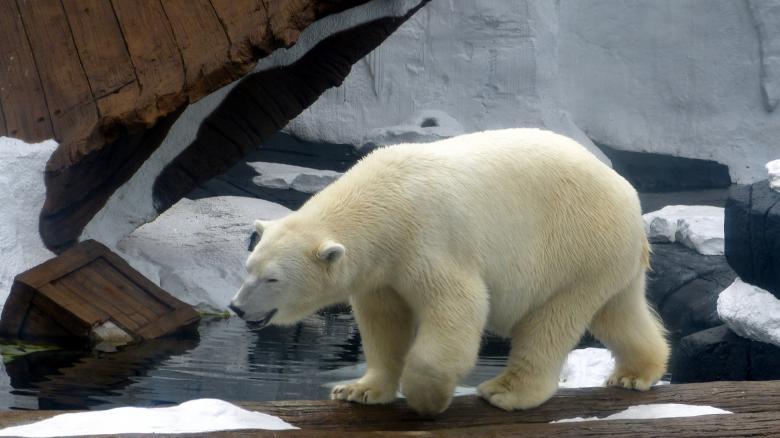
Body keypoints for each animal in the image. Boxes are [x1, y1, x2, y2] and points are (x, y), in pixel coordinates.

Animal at [229, 128, 669, 415]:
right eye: (248, 267)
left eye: (272, 279)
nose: (236, 307)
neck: (383, 201)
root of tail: (630, 201)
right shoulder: (382, 271)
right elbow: (384, 322)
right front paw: (358, 390)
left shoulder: (426, 239)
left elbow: (457, 307)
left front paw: (426, 397)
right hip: (605, 260)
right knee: (618, 311)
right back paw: (634, 374)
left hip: (574, 245)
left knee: (551, 320)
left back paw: (506, 391)